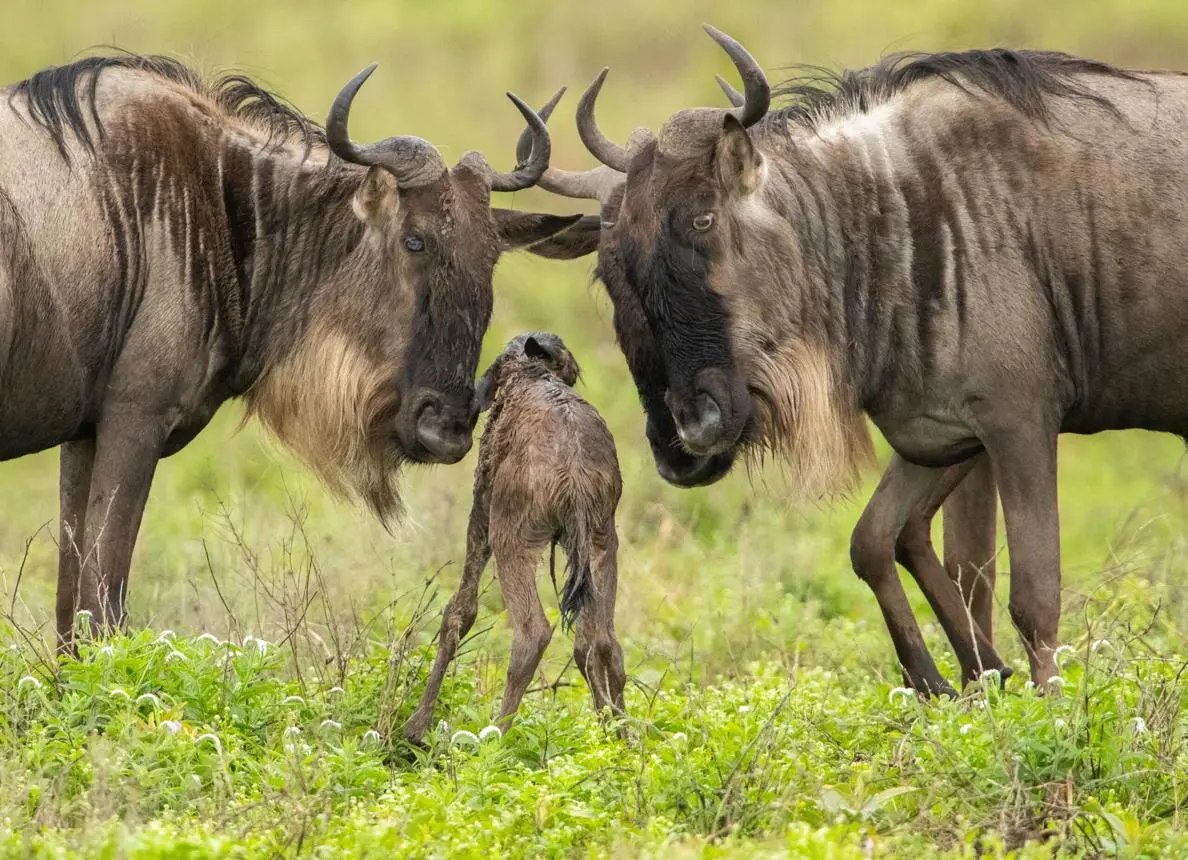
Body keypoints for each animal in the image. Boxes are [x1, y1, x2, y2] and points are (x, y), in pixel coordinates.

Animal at [0, 53, 581, 646]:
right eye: (414, 240)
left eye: (491, 258)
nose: (447, 429)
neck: (215, 198)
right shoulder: (135, 420)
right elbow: (103, 604)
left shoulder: (84, 435)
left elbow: (71, 609)